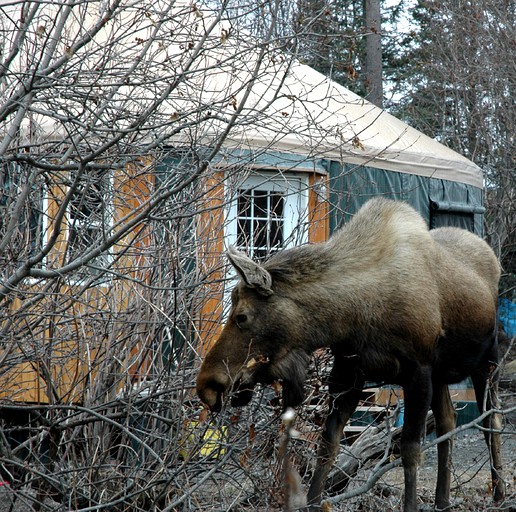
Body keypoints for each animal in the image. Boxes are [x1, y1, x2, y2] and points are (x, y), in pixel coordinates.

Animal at [197, 198, 504, 510]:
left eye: (242, 316)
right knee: (448, 421)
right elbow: (327, 445)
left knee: (492, 421)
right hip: (441, 373)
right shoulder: (348, 371)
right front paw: (313, 501)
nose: (207, 384)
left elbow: (409, 450)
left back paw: (499, 494)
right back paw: (442, 501)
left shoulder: (417, 371)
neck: (351, 316)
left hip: (487, 361)